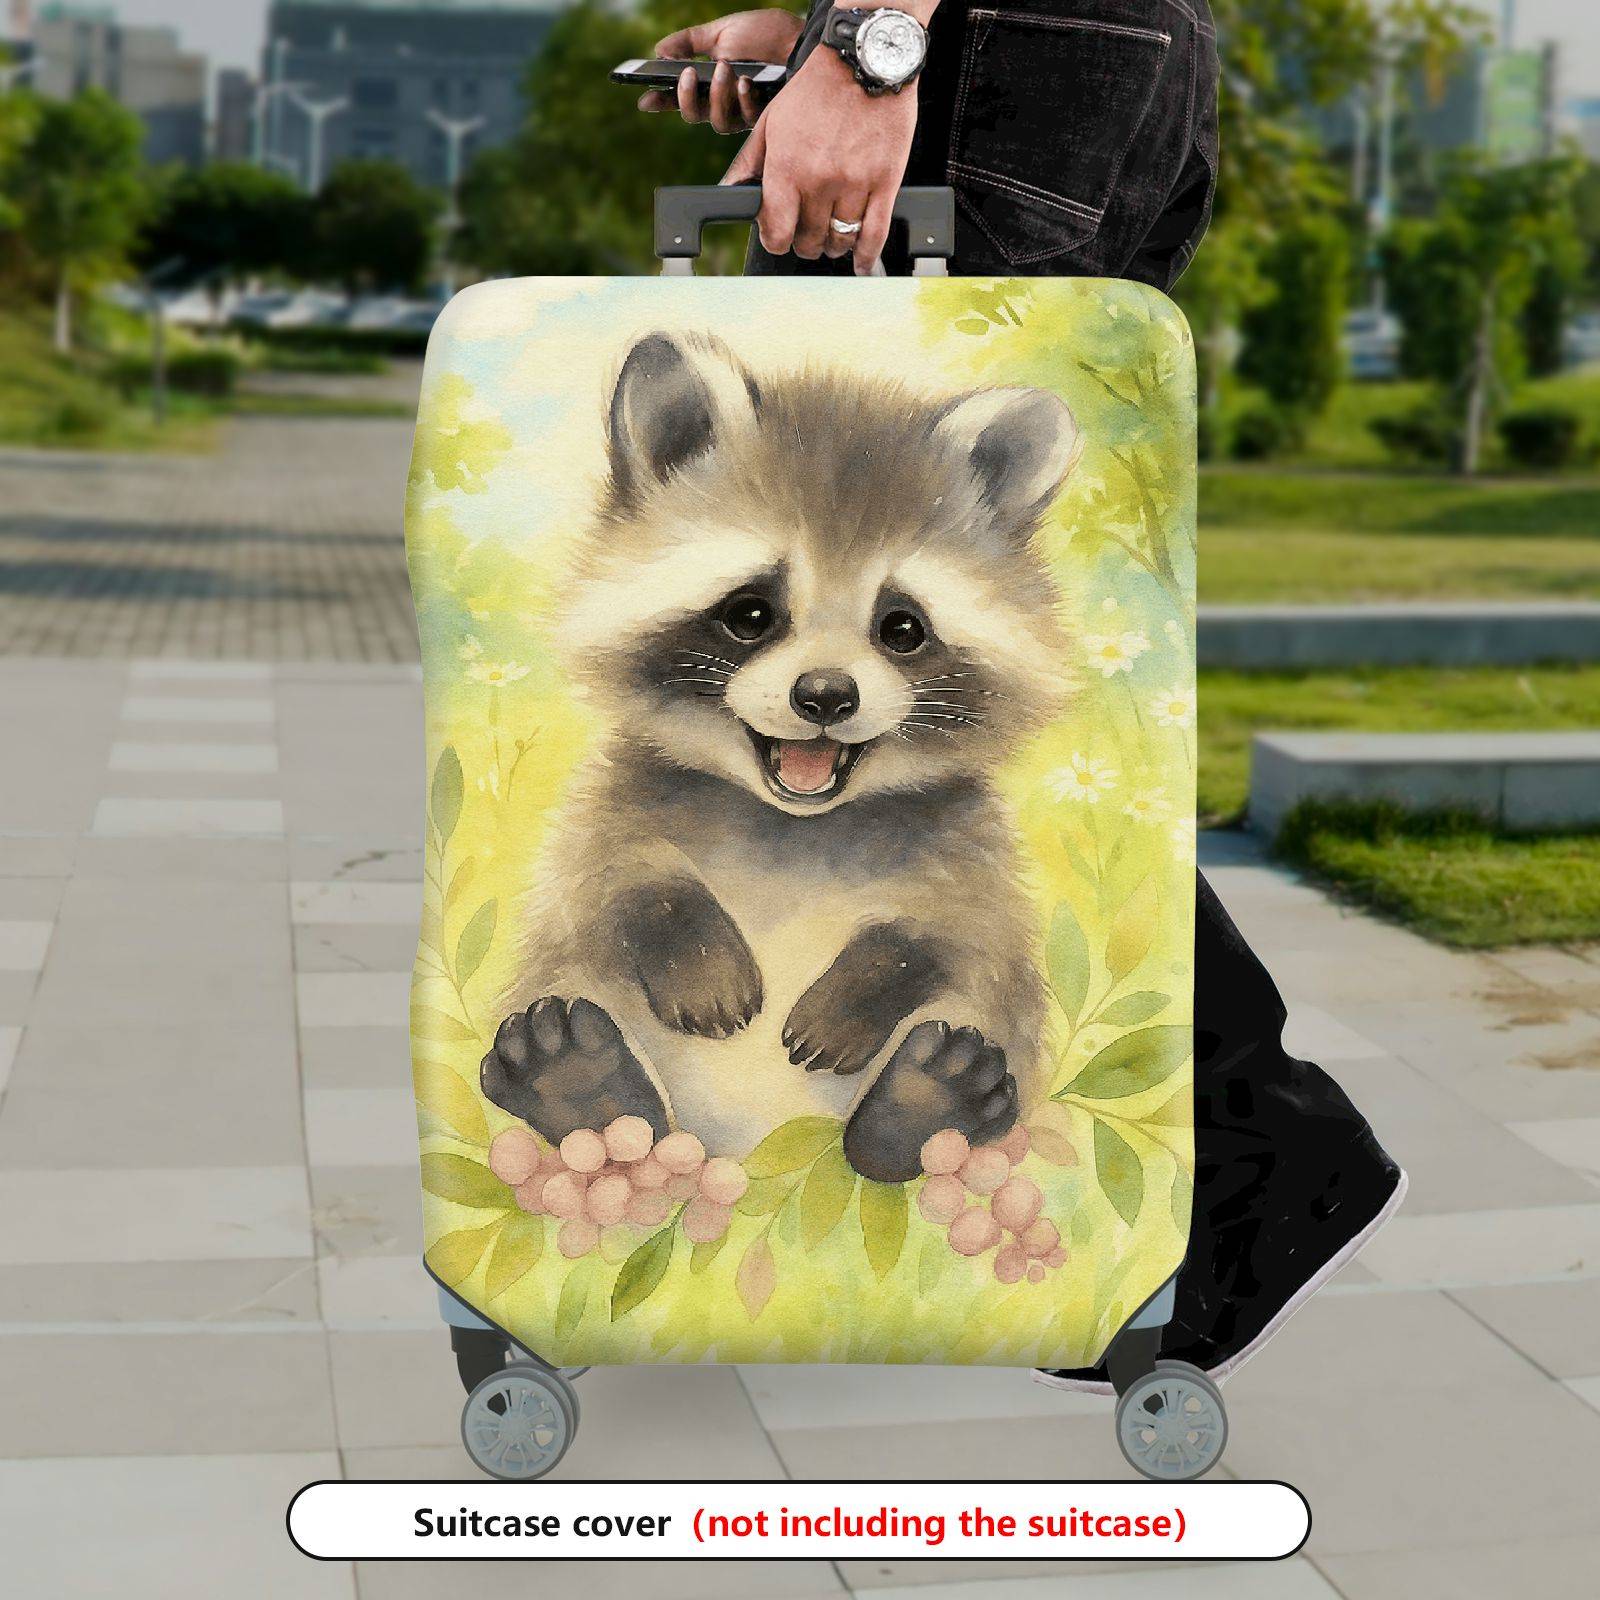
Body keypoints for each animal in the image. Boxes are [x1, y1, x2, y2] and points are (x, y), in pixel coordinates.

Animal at [479, 330, 1083, 1184]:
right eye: (751, 614)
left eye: (902, 628)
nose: (825, 696)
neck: (795, 821)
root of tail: (742, 1147)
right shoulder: (614, 798)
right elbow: (607, 879)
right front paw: (686, 931)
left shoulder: (972, 842)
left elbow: (961, 929)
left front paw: (874, 974)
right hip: (585, 1005)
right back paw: (579, 1082)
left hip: (981, 1042)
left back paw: (925, 1104)